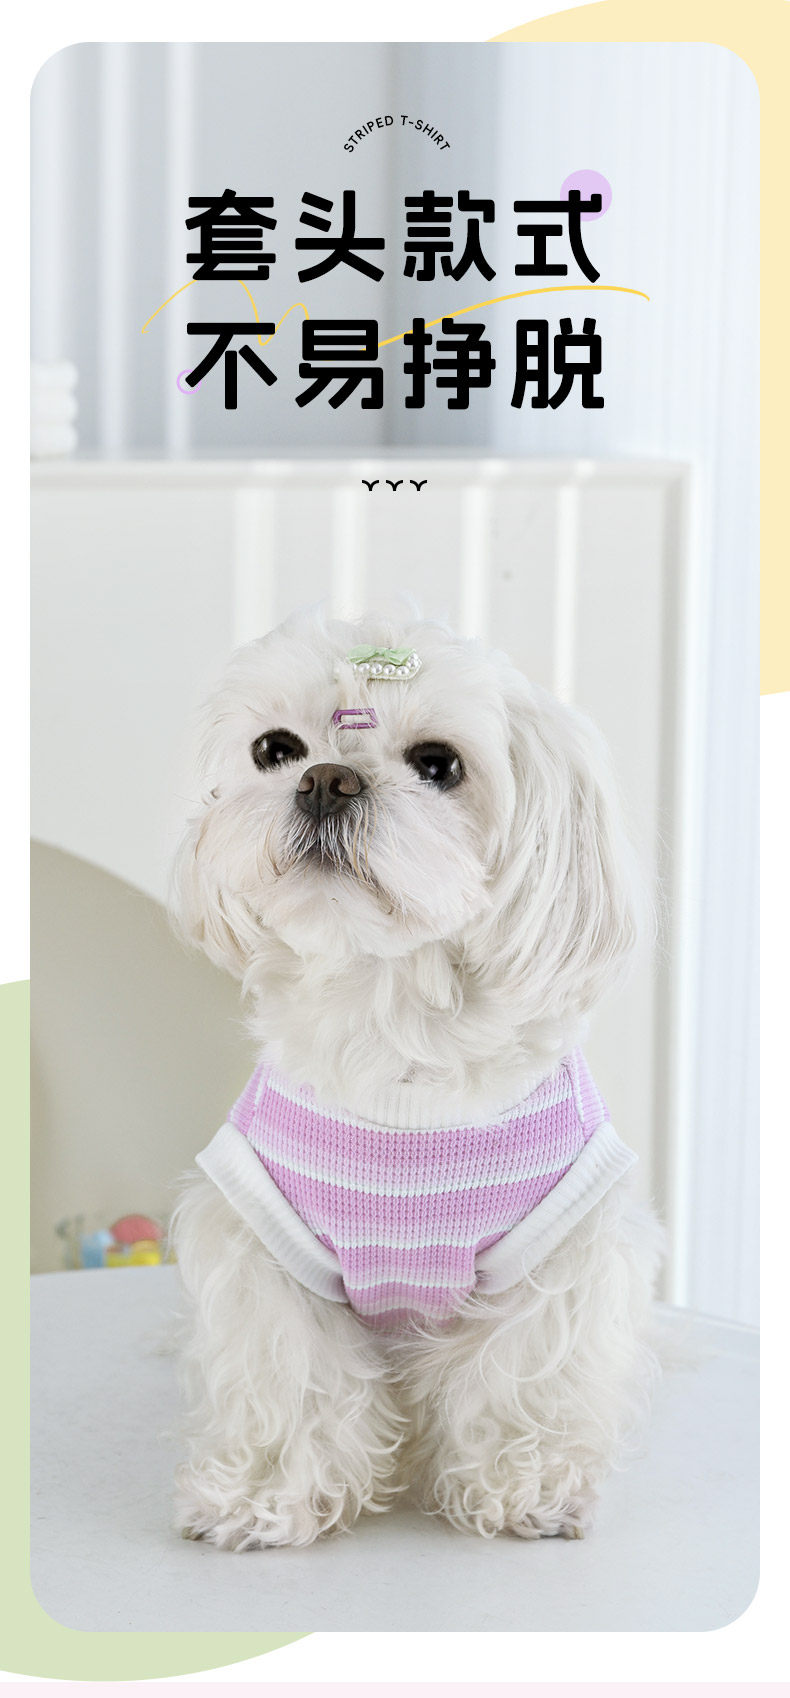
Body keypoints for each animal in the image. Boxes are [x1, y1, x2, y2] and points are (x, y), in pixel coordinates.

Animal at [170, 607, 662, 1549]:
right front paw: (263, 1495)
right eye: (274, 749)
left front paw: (524, 1488)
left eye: (439, 764)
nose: (325, 780)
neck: (393, 1025)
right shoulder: (264, 1240)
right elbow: (288, 1371)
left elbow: (520, 1373)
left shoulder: (555, 1247)